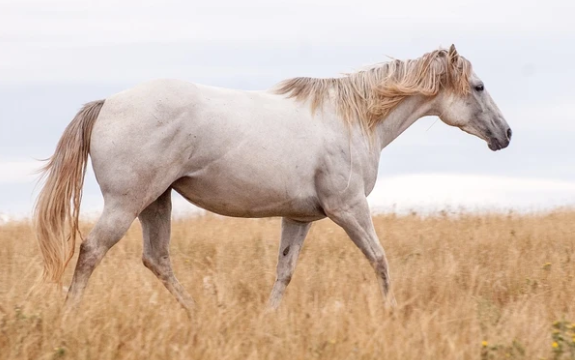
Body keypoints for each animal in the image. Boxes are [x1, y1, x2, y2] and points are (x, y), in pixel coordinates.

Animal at [32, 45, 508, 316]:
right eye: (479, 86)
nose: (505, 134)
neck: (355, 119)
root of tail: (107, 103)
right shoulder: (349, 209)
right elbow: (380, 259)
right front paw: (392, 312)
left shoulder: (299, 219)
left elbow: (284, 271)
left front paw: (269, 318)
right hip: (127, 203)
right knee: (92, 251)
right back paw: (70, 317)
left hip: (156, 202)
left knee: (157, 258)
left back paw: (200, 314)